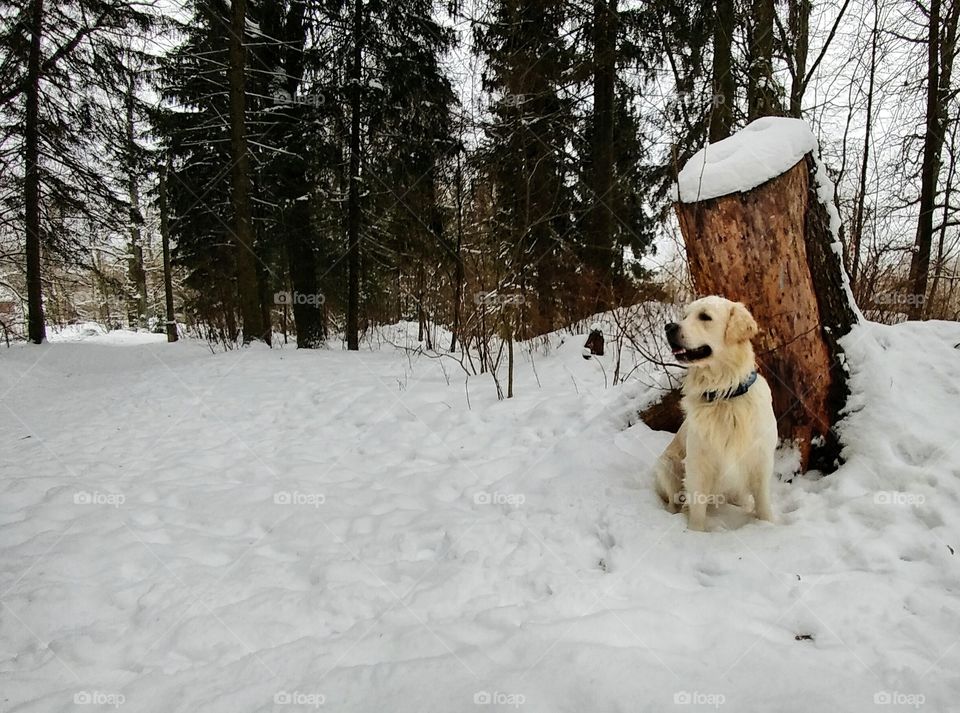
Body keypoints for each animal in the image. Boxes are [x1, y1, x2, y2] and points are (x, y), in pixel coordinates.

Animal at [652, 294, 780, 528]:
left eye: (705, 317)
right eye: (685, 315)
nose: (669, 327)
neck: (723, 394)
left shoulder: (761, 459)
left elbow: (763, 504)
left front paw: (768, 525)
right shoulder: (697, 463)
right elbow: (697, 508)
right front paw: (695, 531)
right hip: (667, 465)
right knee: (674, 501)